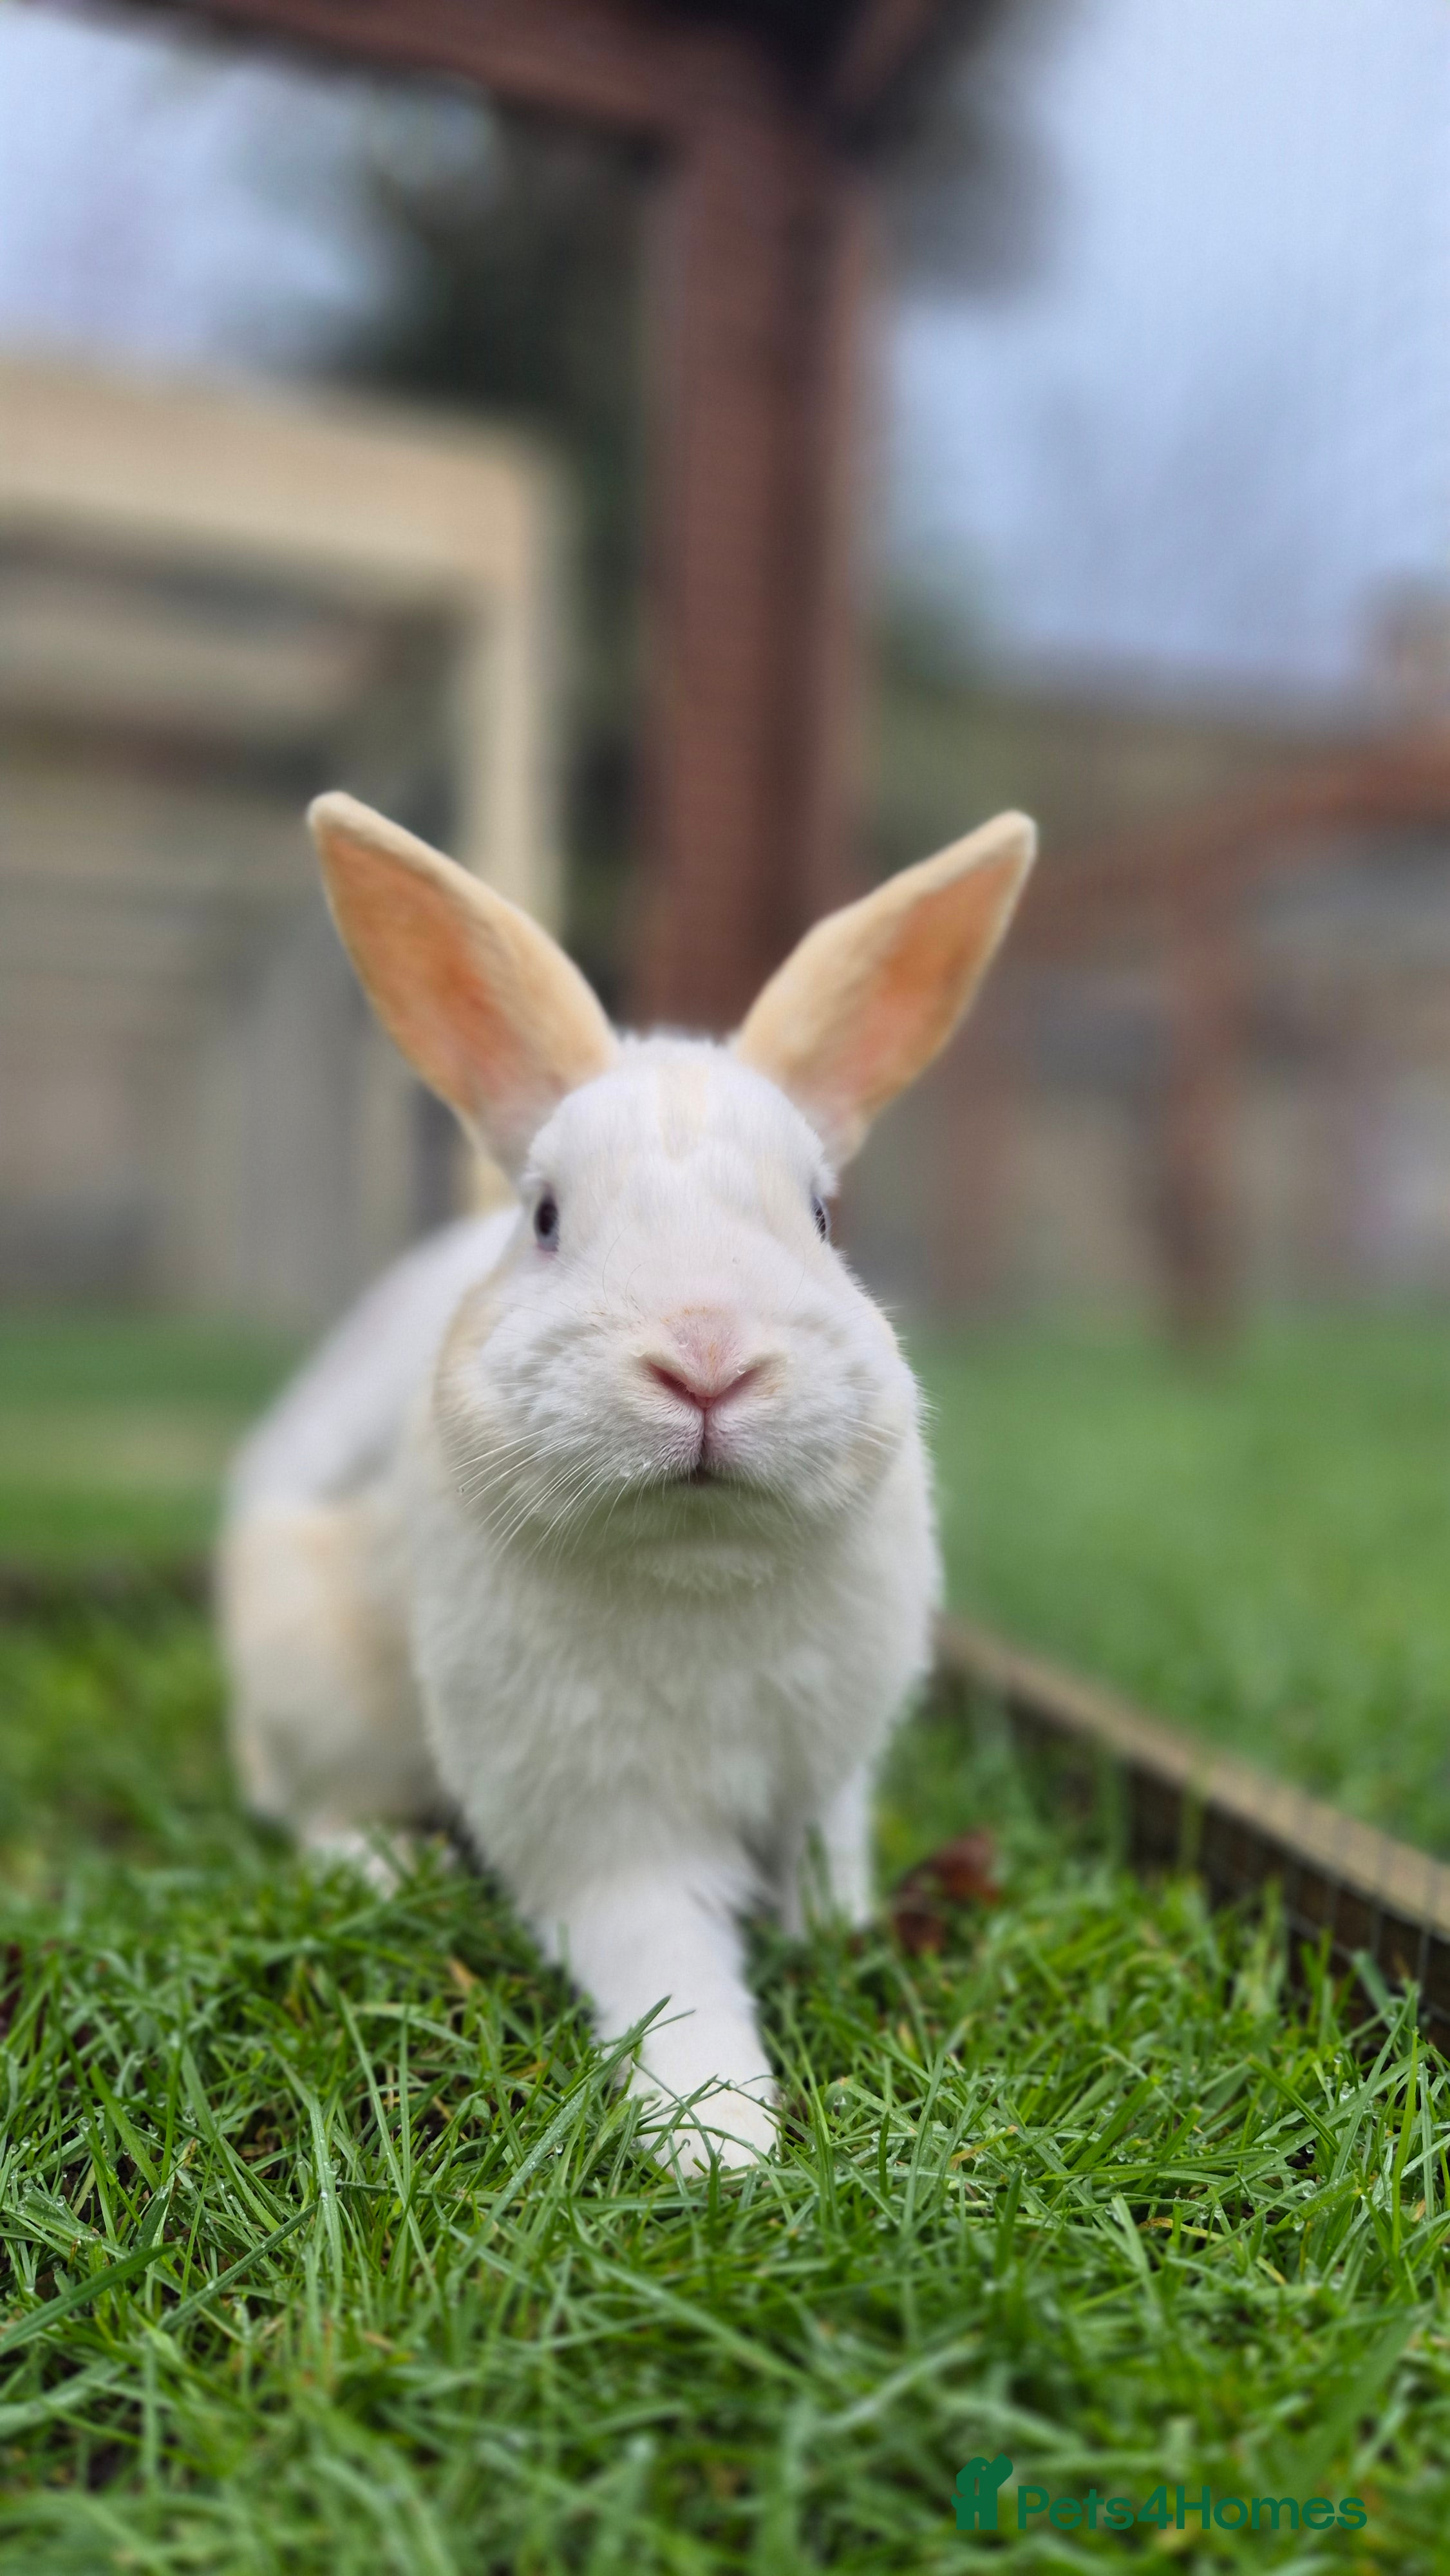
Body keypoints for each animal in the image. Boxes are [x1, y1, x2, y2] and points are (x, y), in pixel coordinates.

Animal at [219, 791, 1035, 2171]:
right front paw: (722, 2144)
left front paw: (840, 1942)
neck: (695, 1562)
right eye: (545, 1217)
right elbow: (667, 1964)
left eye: (821, 1215)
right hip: (310, 1674)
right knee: (310, 1811)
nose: (706, 1359)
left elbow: (824, 1872)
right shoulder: (599, 1829)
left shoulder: (827, 1779)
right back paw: (391, 1868)